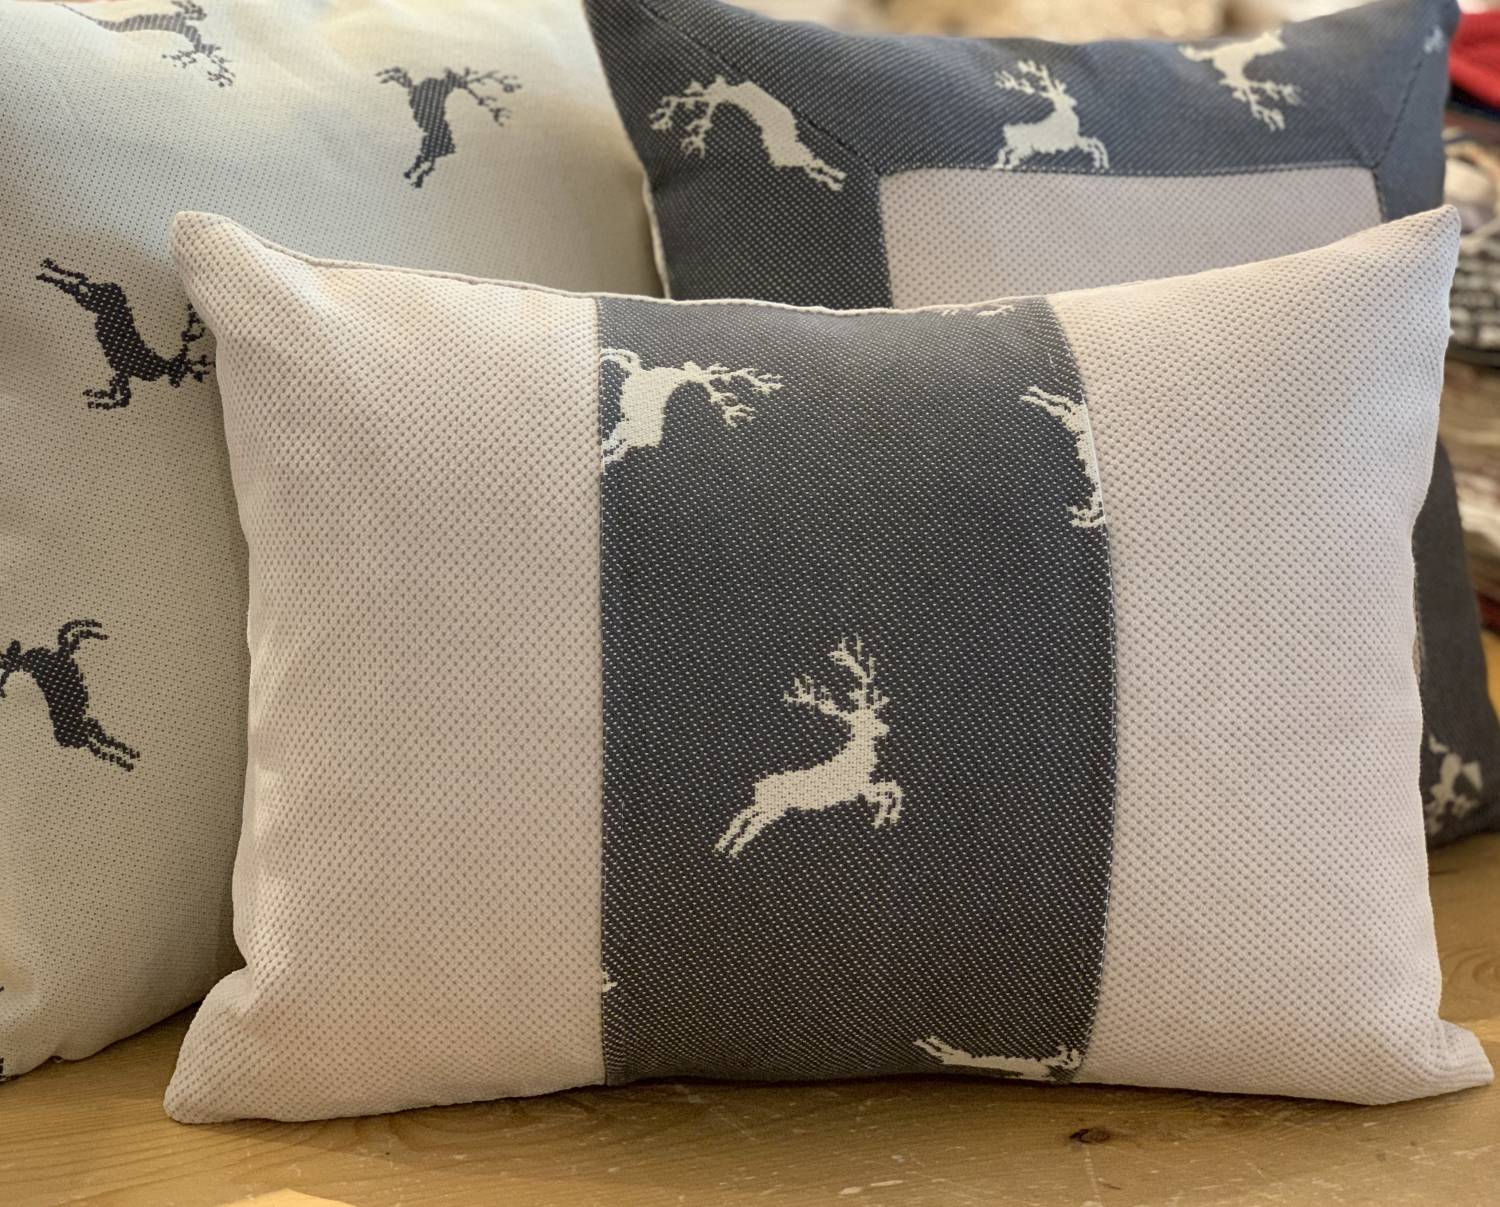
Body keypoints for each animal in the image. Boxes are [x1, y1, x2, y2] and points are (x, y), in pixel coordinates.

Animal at [0, 621, 139, 771]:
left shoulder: (64, 654)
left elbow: (70, 636)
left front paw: (96, 630)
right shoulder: (63, 654)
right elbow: (70, 635)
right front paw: (96, 631)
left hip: (90, 725)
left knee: (101, 742)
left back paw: (129, 756)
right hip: (89, 728)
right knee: (101, 744)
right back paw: (128, 760)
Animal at [37, 259, 212, 410]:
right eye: (180, 370)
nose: (176, 383)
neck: (158, 366)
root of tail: (114, 287)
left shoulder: (120, 372)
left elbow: (117, 393)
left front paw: (97, 396)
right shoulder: (124, 372)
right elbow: (122, 398)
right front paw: (98, 401)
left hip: (94, 298)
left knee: (81, 282)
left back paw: (48, 269)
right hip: (94, 302)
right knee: (77, 286)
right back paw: (46, 274)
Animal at [378, 66, 520, 188]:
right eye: (457, 79)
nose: (463, 83)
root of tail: (451, 148)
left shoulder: (415, 89)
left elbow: (404, 80)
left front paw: (391, 75)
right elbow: (404, 79)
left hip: (429, 148)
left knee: (428, 162)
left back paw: (415, 178)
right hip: (427, 147)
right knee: (425, 161)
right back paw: (412, 176)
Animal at [716, 637, 902, 859]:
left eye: (873, 716)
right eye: (862, 721)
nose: (886, 728)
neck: (858, 761)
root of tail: (759, 785)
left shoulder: (863, 788)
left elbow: (891, 790)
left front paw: (885, 818)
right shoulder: (860, 787)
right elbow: (891, 791)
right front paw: (883, 819)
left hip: (764, 805)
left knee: (744, 815)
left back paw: (725, 846)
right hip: (774, 807)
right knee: (752, 822)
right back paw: (733, 848)